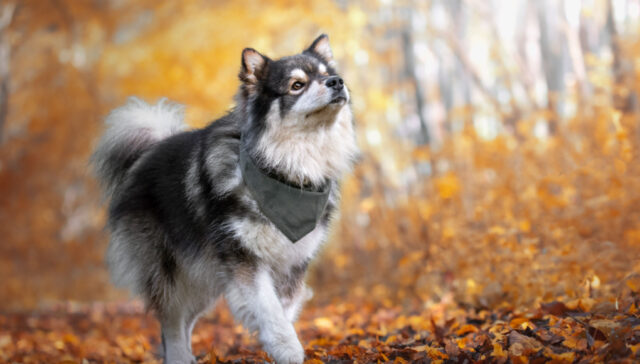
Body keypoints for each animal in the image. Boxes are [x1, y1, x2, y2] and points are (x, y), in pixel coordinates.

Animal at [90, 34, 358, 364]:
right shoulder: (245, 259)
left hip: (202, 277)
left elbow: (284, 310)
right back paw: (178, 357)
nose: (337, 81)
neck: (287, 167)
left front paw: (274, 348)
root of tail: (147, 153)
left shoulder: (292, 262)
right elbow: (270, 310)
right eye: (297, 85)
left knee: (186, 320)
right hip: (168, 273)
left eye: (326, 74)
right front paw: (288, 349)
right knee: (172, 322)